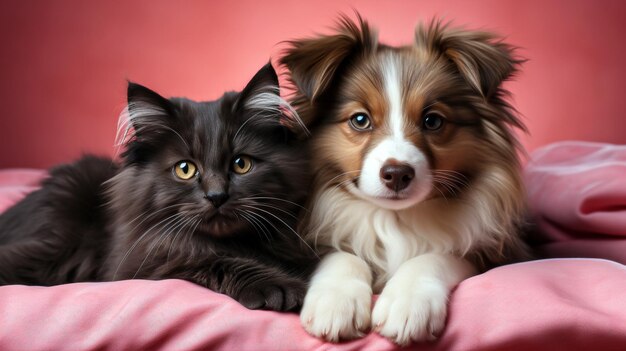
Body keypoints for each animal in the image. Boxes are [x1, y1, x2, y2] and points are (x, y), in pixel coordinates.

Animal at [0, 63, 314, 310]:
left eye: (241, 164)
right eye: (185, 169)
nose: (216, 196)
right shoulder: (145, 261)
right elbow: (214, 261)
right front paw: (281, 288)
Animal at [280, 15, 528, 346]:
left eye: (432, 121)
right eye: (360, 120)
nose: (397, 174)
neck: (393, 218)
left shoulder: (494, 252)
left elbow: (434, 256)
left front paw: (407, 304)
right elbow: (343, 255)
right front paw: (335, 303)